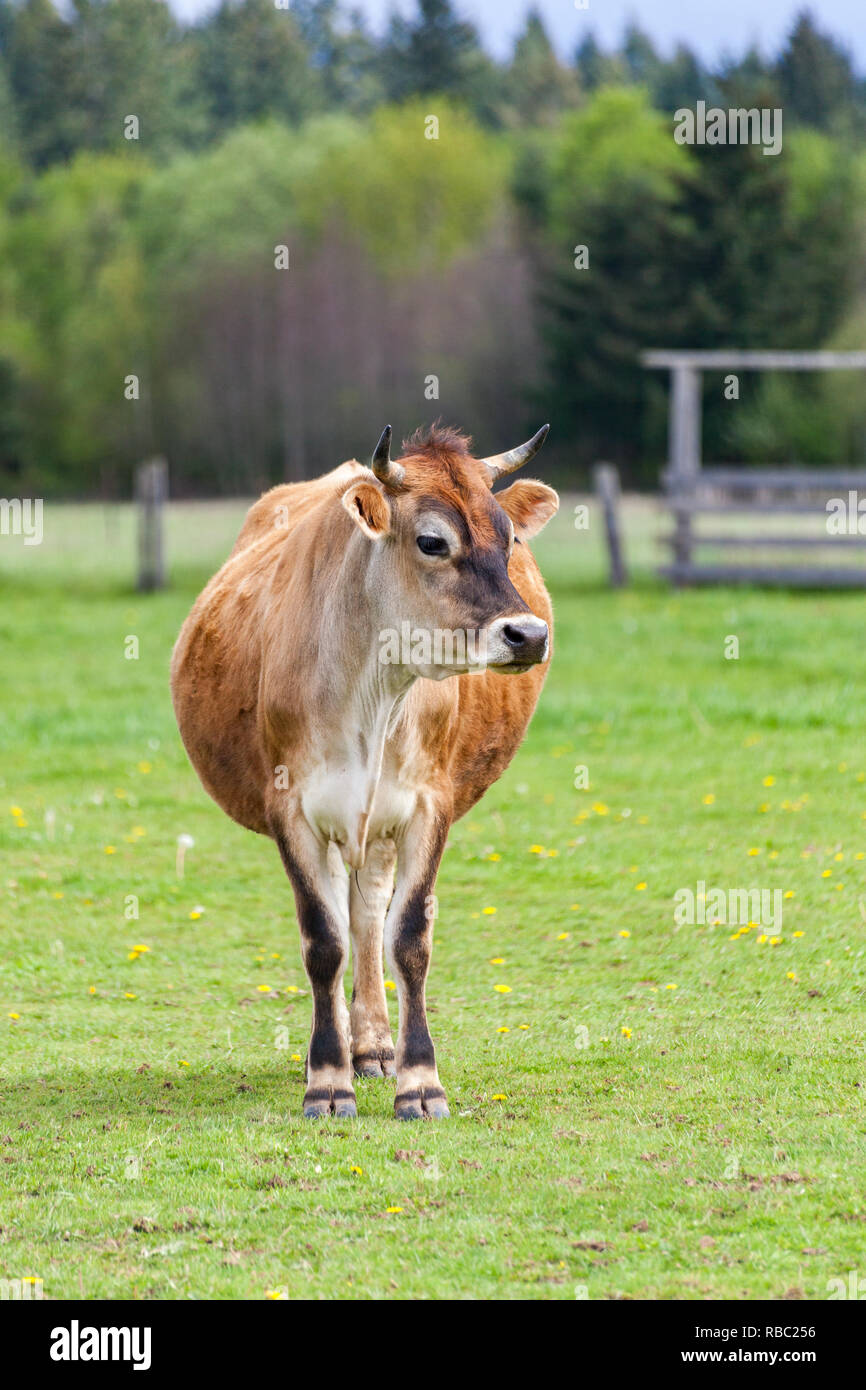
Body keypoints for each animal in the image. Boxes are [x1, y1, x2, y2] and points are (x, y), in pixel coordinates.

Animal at [173, 422, 558, 1117]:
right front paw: (327, 1079)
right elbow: (322, 940)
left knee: (369, 912)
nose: (528, 634)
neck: (372, 690)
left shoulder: (428, 804)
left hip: (378, 823)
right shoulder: (292, 810)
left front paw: (419, 1080)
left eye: (511, 538)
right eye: (432, 541)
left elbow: (408, 936)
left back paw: (374, 1043)